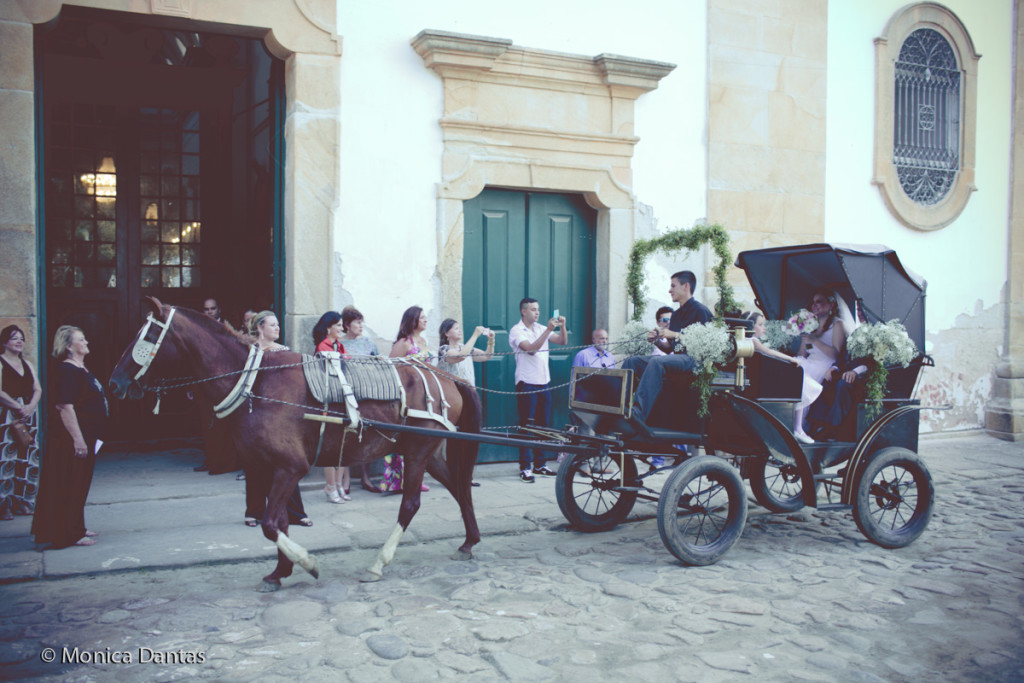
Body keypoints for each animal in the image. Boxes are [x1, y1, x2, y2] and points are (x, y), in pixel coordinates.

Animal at [110, 299, 481, 593]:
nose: (114, 381)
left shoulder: (290, 468)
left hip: (418, 452)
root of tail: (448, 376)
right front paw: (279, 571)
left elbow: (270, 524)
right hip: (426, 453)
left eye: (147, 335)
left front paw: (305, 563)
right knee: (459, 487)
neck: (256, 383)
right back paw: (469, 542)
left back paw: (379, 563)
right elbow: (278, 522)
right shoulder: (266, 467)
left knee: (412, 504)